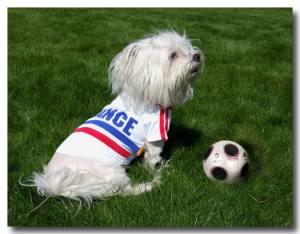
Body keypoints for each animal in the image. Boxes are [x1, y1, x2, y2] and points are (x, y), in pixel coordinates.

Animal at [31, 31, 204, 203]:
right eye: (173, 55)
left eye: (188, 49)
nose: (197, 55)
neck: (144, 95)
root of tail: (57, 187)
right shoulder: (155, 135)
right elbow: (152, 160)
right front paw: (159, 169)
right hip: (114, 173)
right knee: (124, 192)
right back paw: (148, 185)